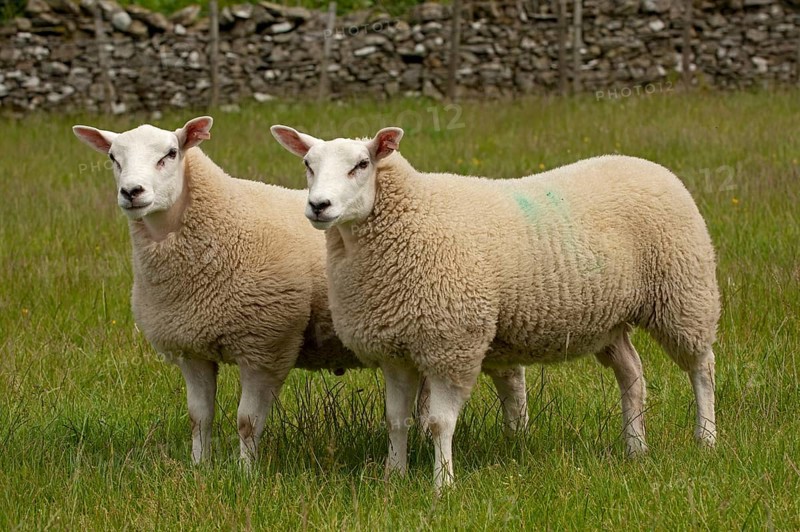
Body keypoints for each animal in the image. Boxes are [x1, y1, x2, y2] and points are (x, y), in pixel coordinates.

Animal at [72, 117, 528, 466]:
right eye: (113, 158)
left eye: (169, 154)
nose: (132, 193)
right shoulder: (191, 348)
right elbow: (199, 418)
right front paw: (199, 471)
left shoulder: (265, 345)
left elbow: (247, 421)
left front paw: (243, 476)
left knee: (510, 381)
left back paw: (515, 441)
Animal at [271, 125, 720, 493]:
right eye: (308, 164)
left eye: (362, 164)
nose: (319, 206)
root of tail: (648, 165)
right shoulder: (395, 349)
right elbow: (396, 420)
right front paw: (392, 478)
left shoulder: (451, 343)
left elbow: (439, 423)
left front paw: (443, 486)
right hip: (607, 321)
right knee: (632, 373)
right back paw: (635, 447)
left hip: (684, 292)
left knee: (702, 367)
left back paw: (707, 439)